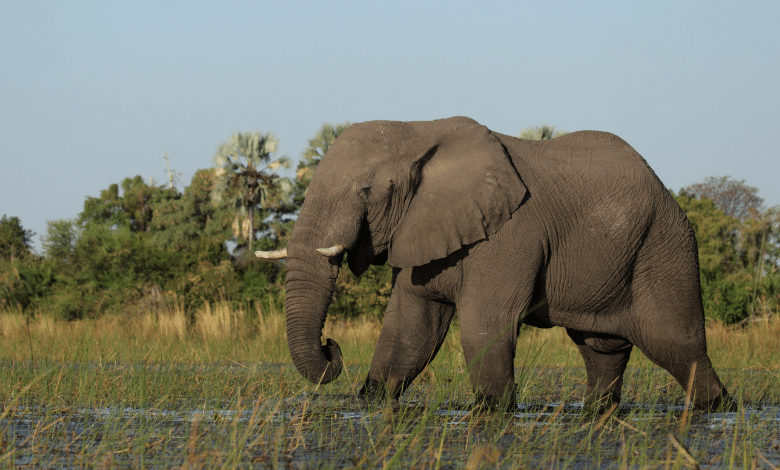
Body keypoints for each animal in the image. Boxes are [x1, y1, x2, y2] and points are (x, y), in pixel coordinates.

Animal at [254, 116, 732, 412]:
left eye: (367, 190)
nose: (330, 345)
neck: (418, 131)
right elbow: (410, 330)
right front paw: (371, 403)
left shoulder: (510, 234)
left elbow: (484, 325)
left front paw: (494, 411)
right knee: (601, 348)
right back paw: (597, 414)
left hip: (665, 248)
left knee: (676, 346)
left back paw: (717, 408)